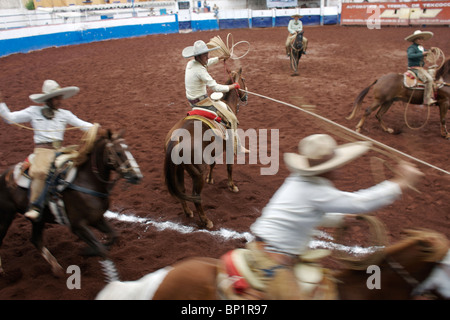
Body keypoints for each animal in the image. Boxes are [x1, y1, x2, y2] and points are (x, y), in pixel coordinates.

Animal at [0, 127, 142, 276]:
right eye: (119, 152)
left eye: (129, 148)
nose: (137, 176)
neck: (87, 182)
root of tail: (4, 175)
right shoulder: (77, 226)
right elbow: (101, 249)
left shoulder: (97, 219)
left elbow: (113, 236)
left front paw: (88, 251)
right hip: (6, 215)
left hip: (38, 219)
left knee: (36, 240)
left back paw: (57, 268)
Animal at [165, 67, 248, 229]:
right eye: (243, 80)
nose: (246, 95)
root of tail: (176, 139)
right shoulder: (229, 148)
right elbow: (229, 167)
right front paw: (232, 186)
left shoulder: (212, 152)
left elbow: (213, 164)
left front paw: (211, 179)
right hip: (197, 173)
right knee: (196, 196)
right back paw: (206, 220)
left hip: (179, 168)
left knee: (181, 190)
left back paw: (188, 212)